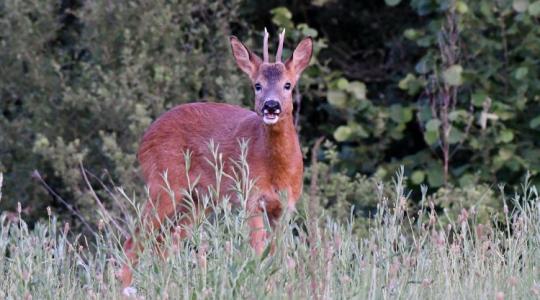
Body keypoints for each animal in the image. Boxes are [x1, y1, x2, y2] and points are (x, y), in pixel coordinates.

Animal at [118, 28, 312, 288]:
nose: (271, 106)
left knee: (164, 242)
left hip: (198, 200)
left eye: (288, 85)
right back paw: (124, 287)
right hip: (163, 185)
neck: (277, 170)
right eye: (257, 85)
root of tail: (144, 138)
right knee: (136, 239)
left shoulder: (286, 205)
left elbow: (278, 254)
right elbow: (258, 251)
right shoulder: (250, 196)